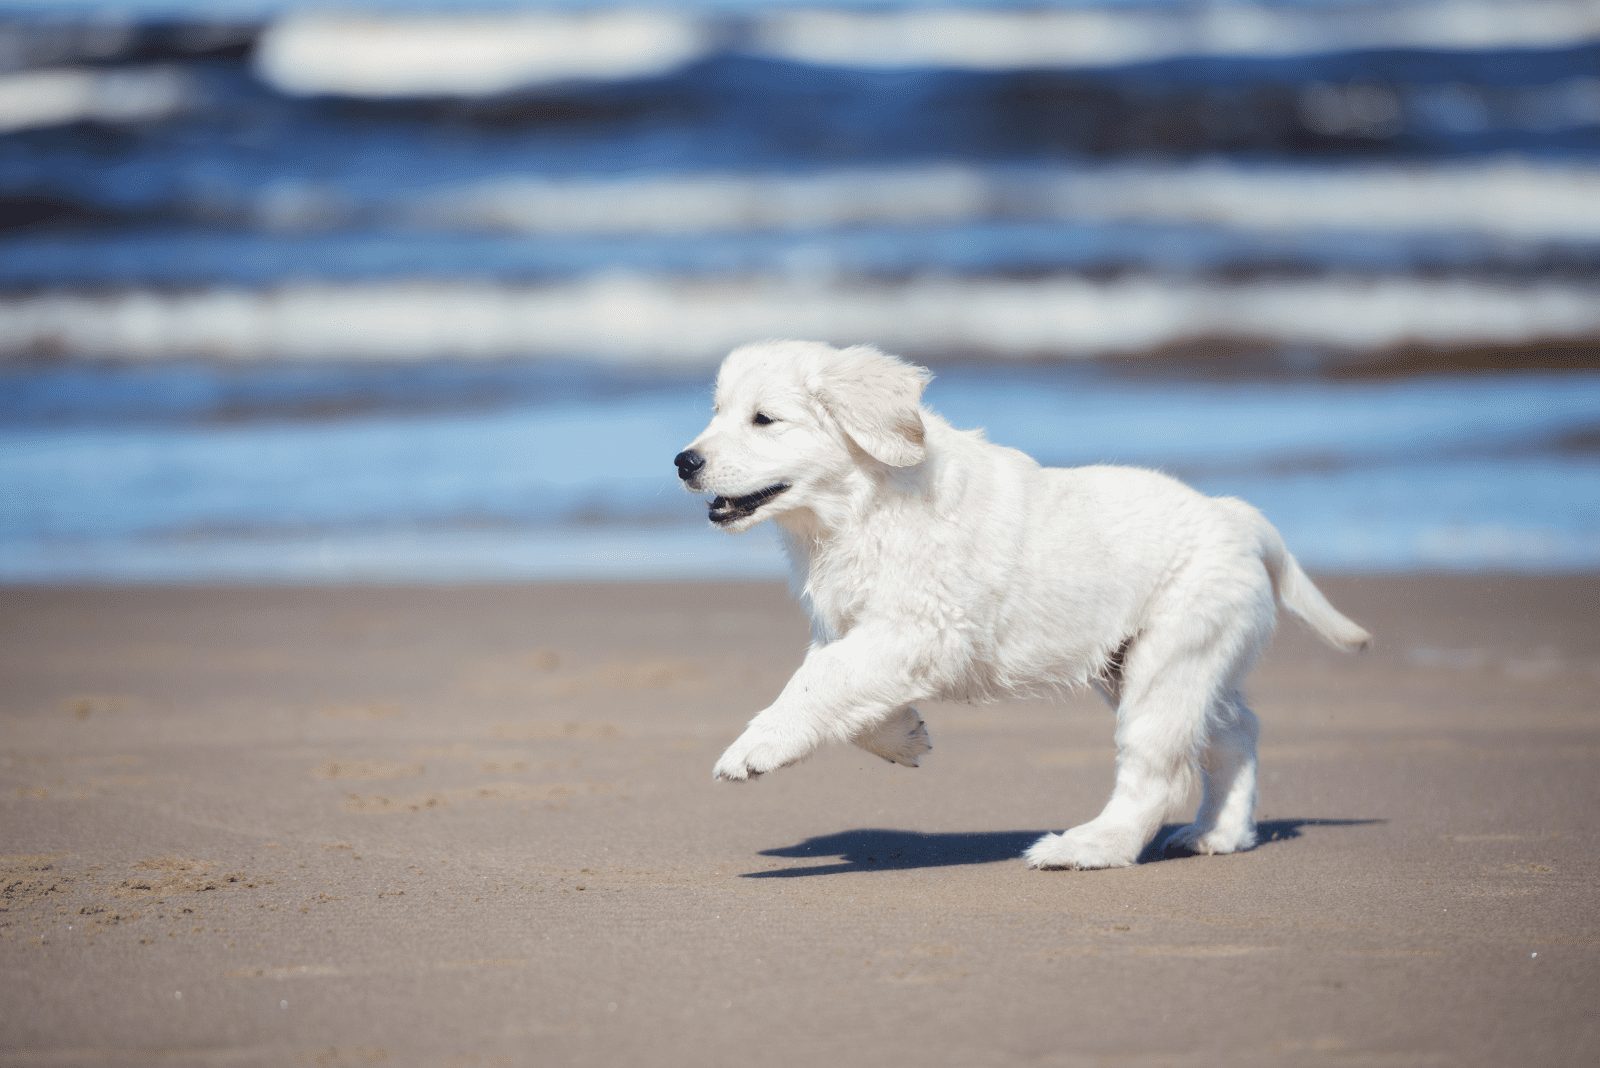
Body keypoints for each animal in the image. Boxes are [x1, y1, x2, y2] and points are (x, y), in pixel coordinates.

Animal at [668, 342, 1369, 869]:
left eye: (764, 419)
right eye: (717, 411)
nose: (683, 461)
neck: (858, 508)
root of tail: (1234, 515)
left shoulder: (923, 626)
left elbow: (820, 680)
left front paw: (756, 748)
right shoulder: (859, 628)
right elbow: (842, 685)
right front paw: (904, 737)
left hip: (1169, 660)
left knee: (1161, 769)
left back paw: (1089, 847)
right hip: (1157, 662)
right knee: (1235, 731)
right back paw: (1219, 834)